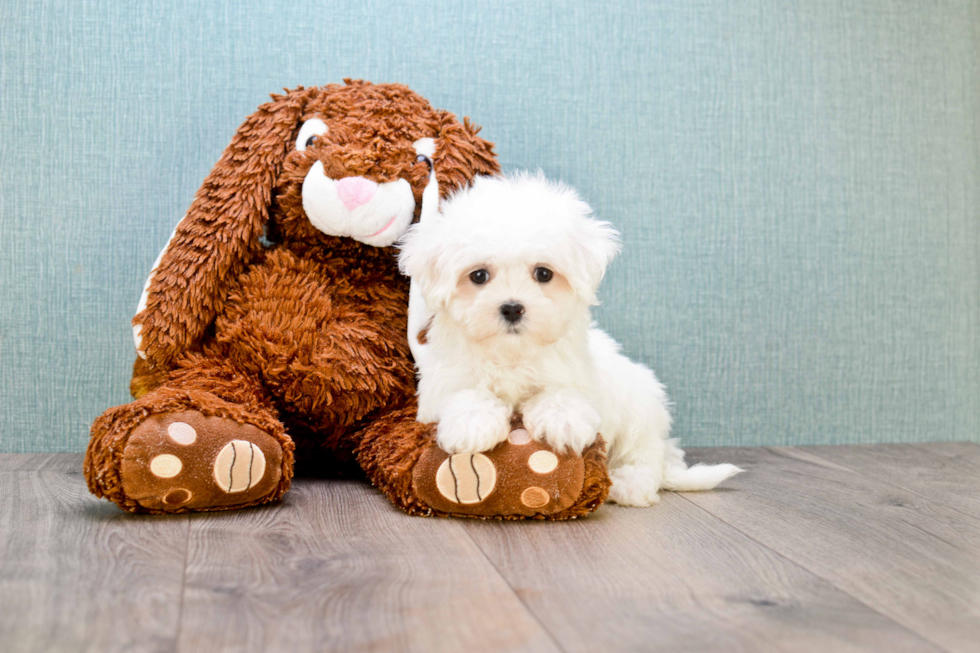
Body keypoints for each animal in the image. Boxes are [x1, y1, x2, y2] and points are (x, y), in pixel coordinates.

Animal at [398, 172, 744, 504]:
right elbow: (464, 394)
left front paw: (561, 420)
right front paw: (472, 423)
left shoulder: (577, 374)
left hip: (641, 406)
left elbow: (563, 393)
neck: (512, 354)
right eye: (479, 276)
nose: (512, 307)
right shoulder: (442, 382)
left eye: (543, 274)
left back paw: (630, 485)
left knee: (645, 456)